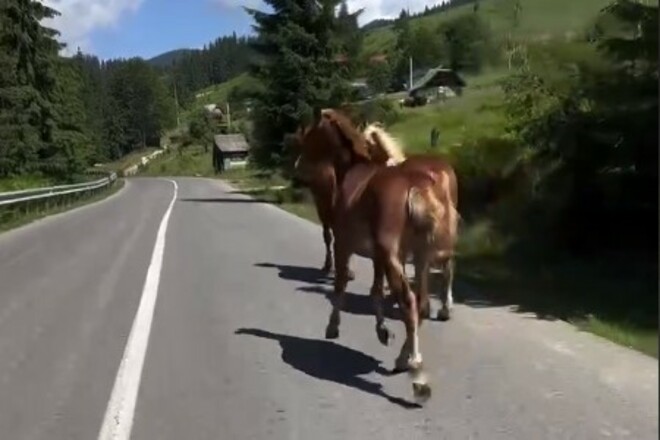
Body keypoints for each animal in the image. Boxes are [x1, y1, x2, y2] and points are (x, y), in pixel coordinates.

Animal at [296, 109, 458, 402]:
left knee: (409, 302)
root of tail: (416, 188)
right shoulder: (377, 257)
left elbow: (340, 285)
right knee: (421, 302)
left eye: (311, 133)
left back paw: (417, 375)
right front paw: (383, 332)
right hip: (420, 257)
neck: (354, 172)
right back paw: (404, 359)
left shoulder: (345, 245)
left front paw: (332, 327)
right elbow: (375, 291)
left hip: (397, 256)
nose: (298, 168)